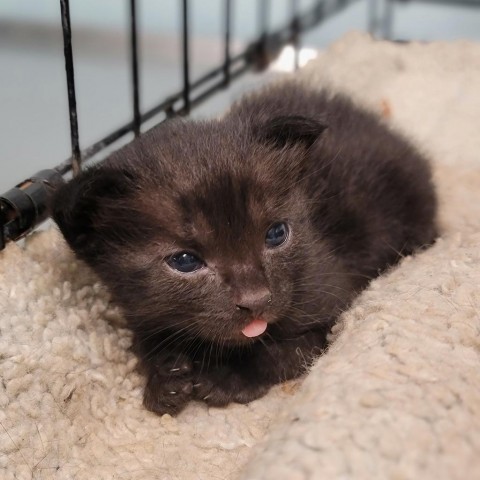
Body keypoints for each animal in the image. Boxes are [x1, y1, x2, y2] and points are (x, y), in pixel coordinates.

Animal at [50, 82, 436, 416]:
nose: (256, 300)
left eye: (276, 234)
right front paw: (164, 377)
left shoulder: (329, 303)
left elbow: (282, 351)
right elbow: (149, 340)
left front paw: (226, 378)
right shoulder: (141, 312)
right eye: (185, 261)